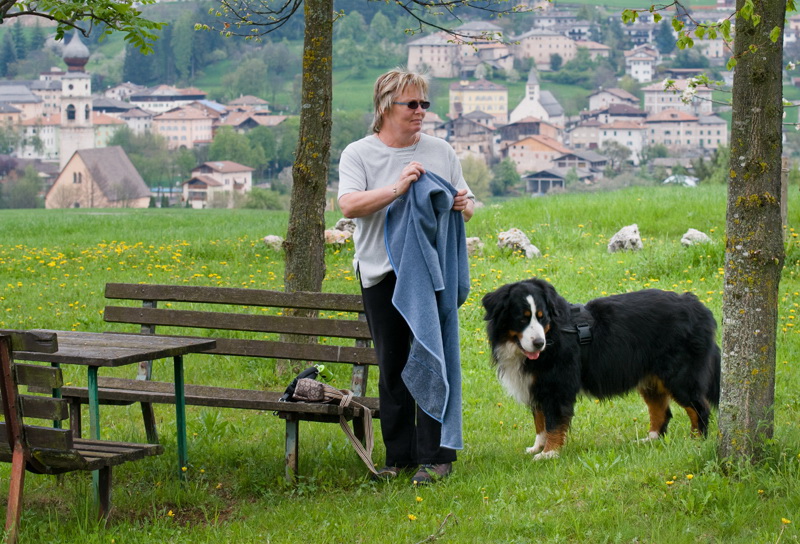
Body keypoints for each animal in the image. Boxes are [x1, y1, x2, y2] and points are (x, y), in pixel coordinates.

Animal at [484, 280, 720, 460]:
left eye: (542, 317)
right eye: (523, 318)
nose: (539, 343)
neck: (552, 335)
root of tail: (696, 305)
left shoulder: (556, 387)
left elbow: (553, 423)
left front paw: (549, 453)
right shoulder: (537, 386)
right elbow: (540, 422)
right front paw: (538, 447)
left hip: (679, 375)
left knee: (699, 407)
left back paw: (696, 441)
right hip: (651, 377)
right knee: (661, 410)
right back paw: (650, 439)